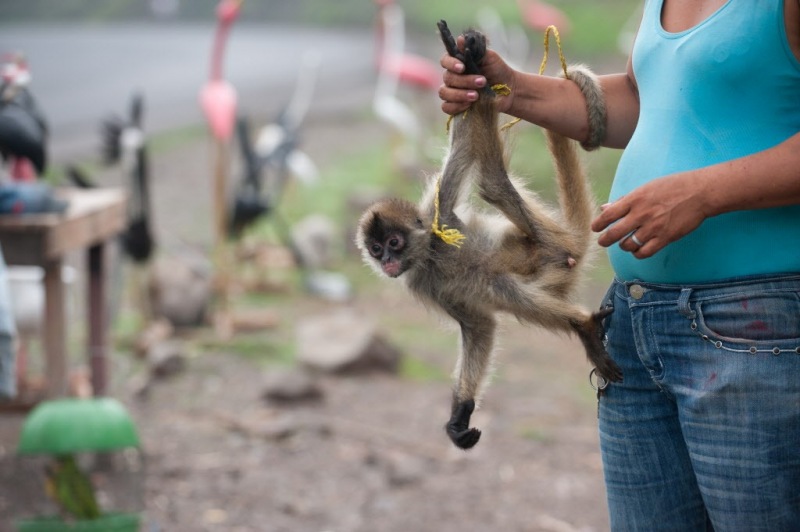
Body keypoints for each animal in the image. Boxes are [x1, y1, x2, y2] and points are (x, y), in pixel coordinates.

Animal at [358, 20, 624, 448]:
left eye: (394, 243)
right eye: (376, 248)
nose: (388, 262)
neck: (430, 254)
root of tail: (569, 239)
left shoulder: (440, 217)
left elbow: (463, 151)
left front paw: (463, 61)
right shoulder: (422, 283)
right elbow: (480, 325)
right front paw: (460, 414)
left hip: (548, 242)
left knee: (492, 185)